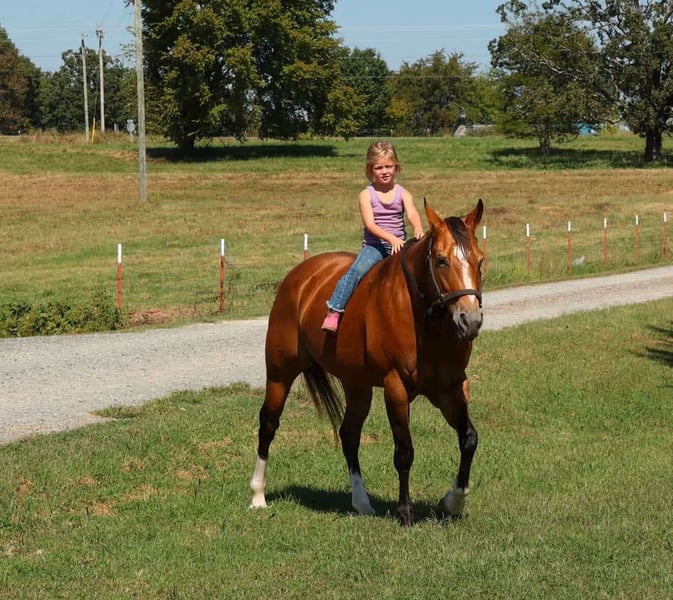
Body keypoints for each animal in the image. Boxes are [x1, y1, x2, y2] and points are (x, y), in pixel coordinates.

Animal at [249, 199, 484, 525]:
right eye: (441, 261)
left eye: (480, 260)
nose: (470, 321)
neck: (425, 321)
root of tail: (300, 275)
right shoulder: (396, 387)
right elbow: (404, 451)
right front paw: (405, 511)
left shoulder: (450, 387)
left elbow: (469, 438)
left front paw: (453, 502)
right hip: (279, 375)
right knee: (268, 424)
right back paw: (258, 495)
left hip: (356, 385)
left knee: (349, 434)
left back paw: (361, 502)